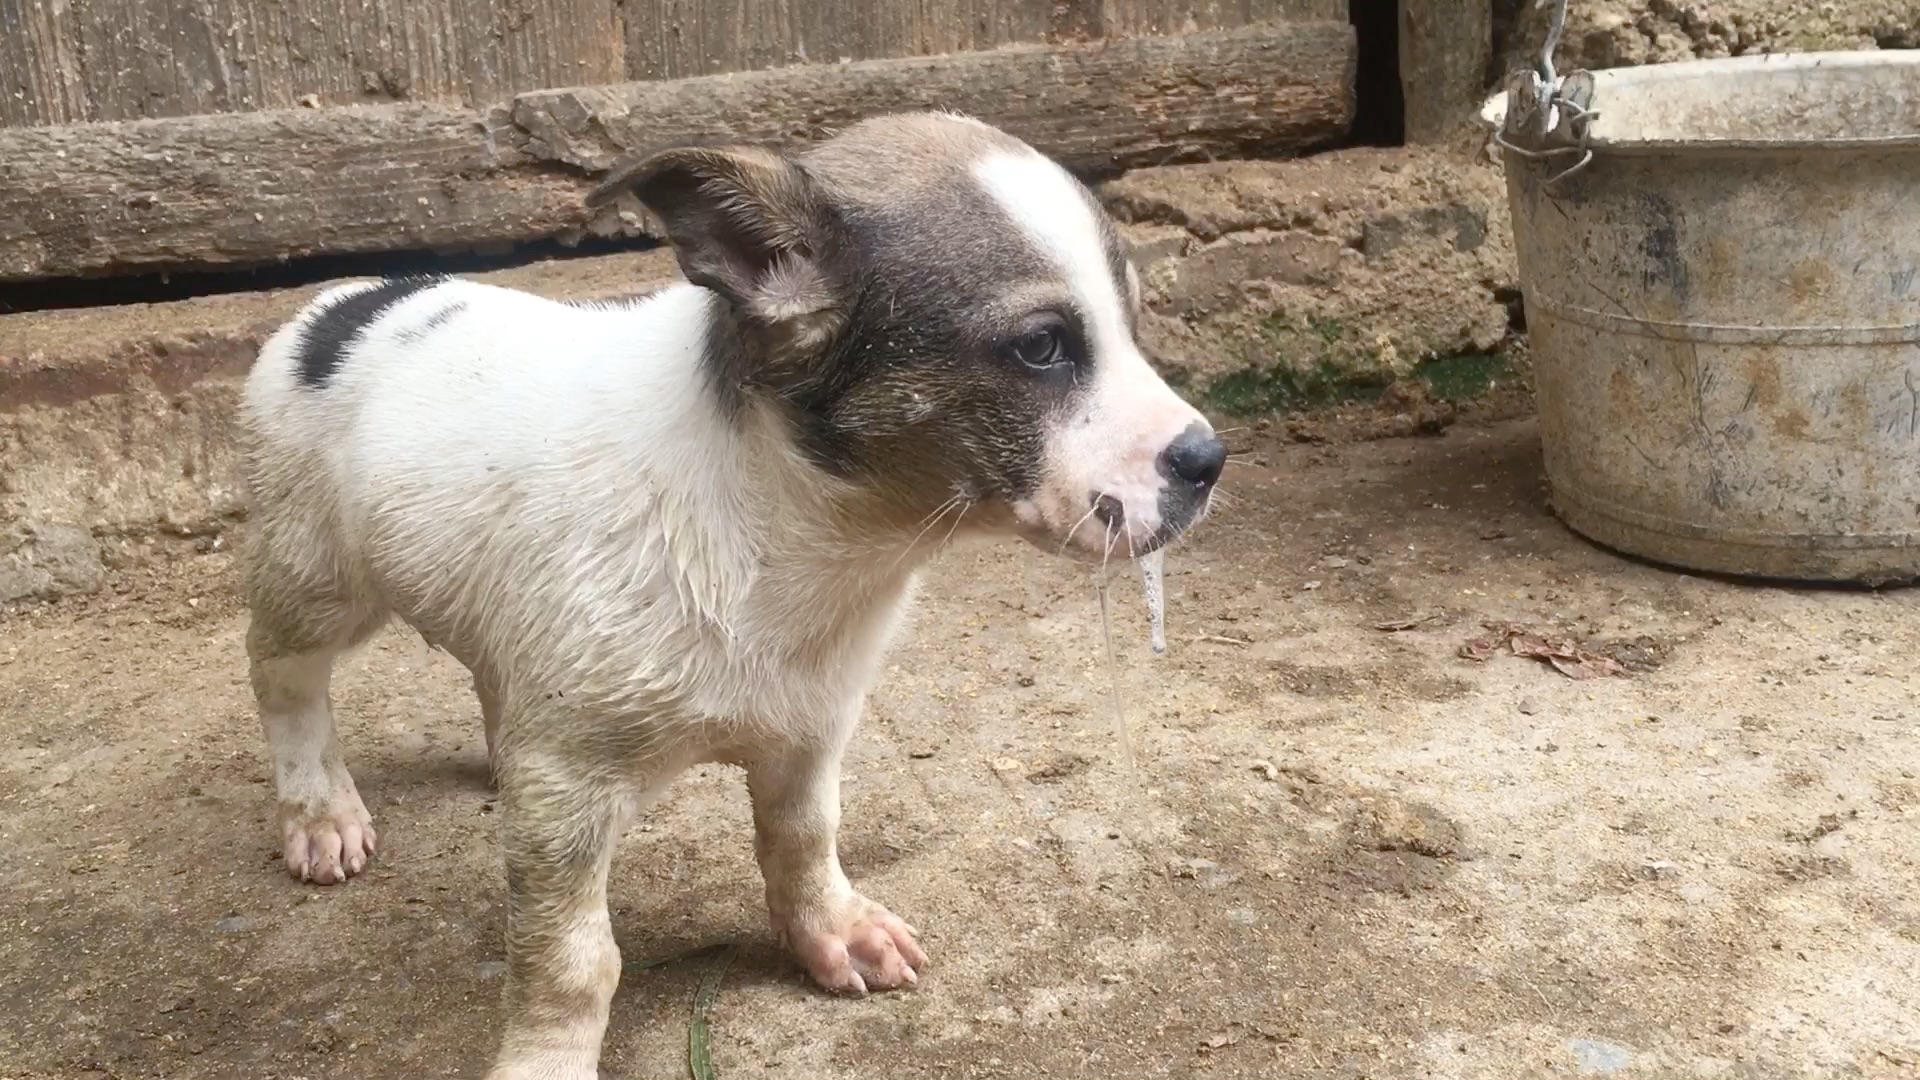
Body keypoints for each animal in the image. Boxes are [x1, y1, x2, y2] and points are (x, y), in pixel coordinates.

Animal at [240, 111, 1221, 1076]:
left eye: (1134, 326)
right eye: (1041, 346)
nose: (1209, 462)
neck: (806, 543)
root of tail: (340, 301)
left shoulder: (812, 730)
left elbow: (805, 840)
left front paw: (833, 932)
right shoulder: (564, 791)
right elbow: (572, 960)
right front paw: (547, 1059)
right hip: (310, 577)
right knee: (285, 683)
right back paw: (319, 812)